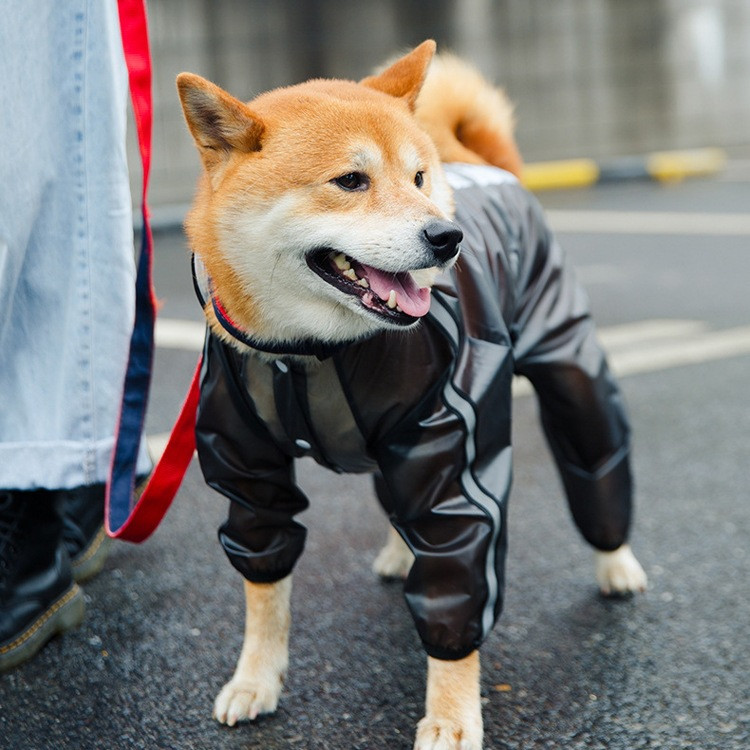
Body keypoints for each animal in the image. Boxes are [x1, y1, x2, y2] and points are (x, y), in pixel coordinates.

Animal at [175, 39, 648, 750]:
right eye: (350, 181)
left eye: (418, 178)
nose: (448, 239)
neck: (311, 354)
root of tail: (483, 166)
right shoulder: (246, 470)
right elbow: (265, 587)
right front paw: (255, 679)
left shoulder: (453, 455)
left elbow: (456, 593)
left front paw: (451, 716)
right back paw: (401, 554)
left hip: (572, 376)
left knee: (596, 457)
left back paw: (616, 562)